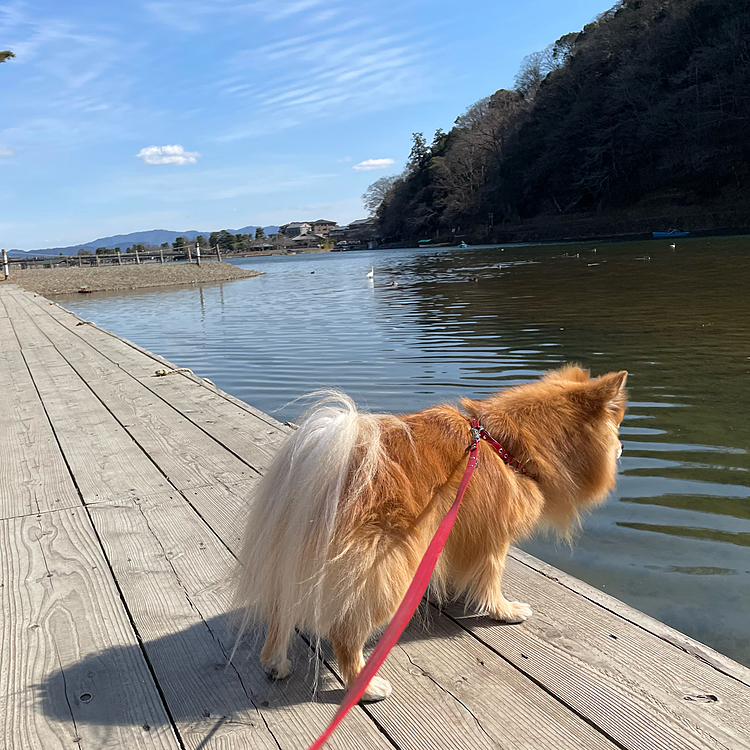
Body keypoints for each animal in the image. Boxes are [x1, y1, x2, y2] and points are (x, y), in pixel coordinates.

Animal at [235, 368, 628, 704]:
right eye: (617, 428)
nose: (624, 448)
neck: (503, 444)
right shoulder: (493, 541)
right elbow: (491, 582)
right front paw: (505, 611)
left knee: (281, 612)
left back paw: (275, 663)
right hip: (386, 568)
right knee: (344, 635)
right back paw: (365, 686)